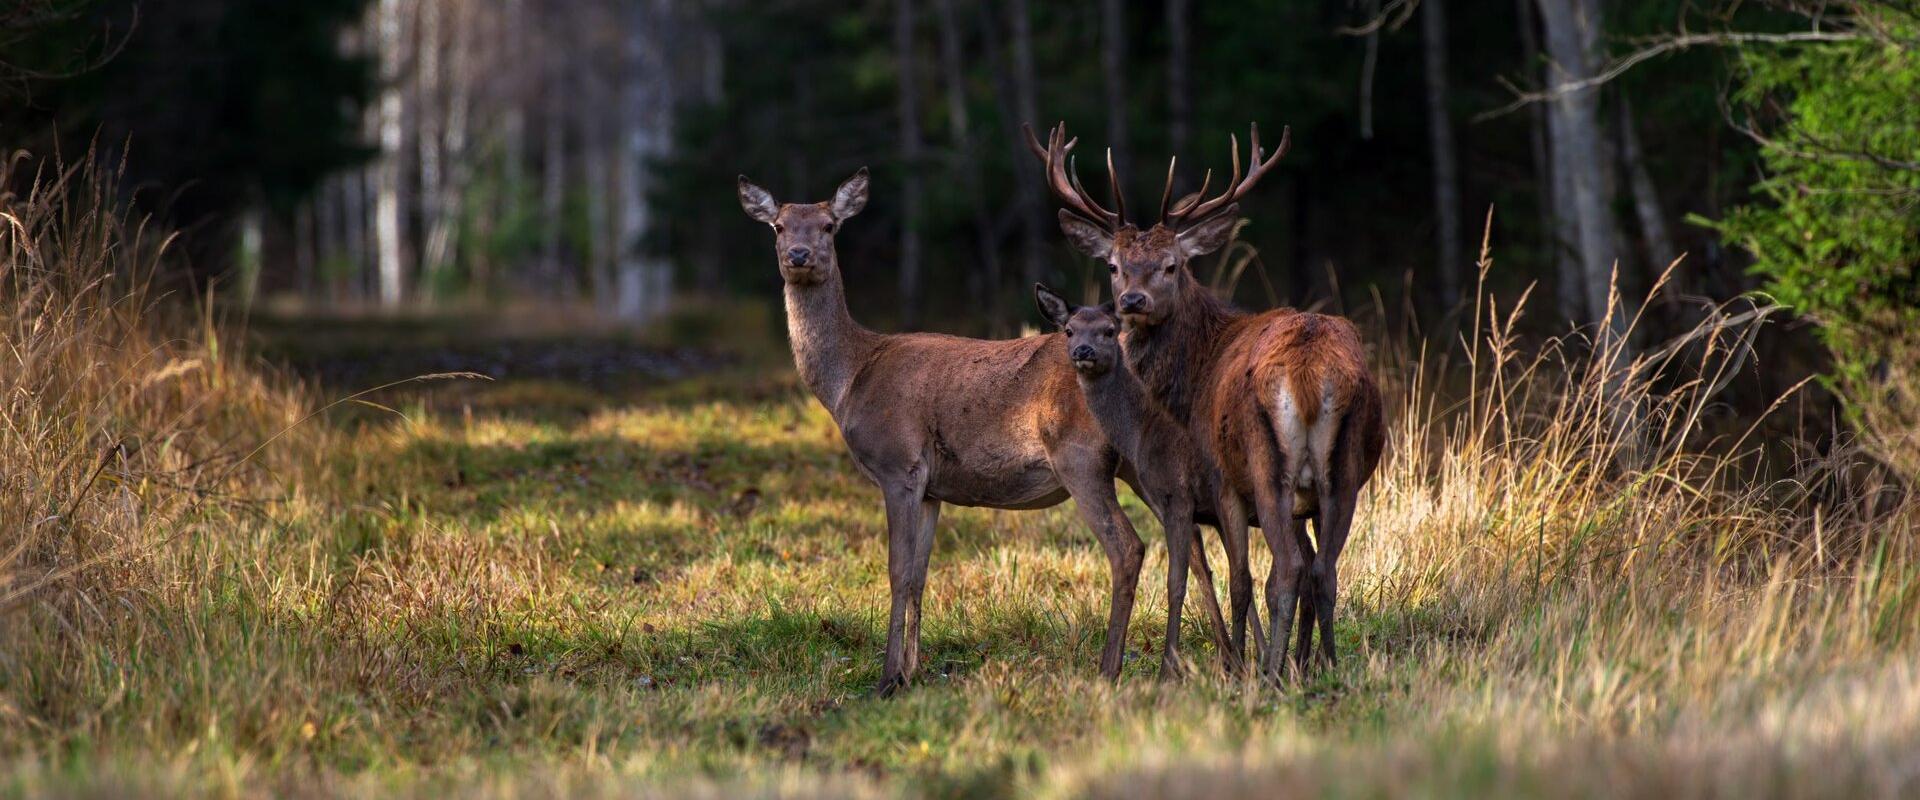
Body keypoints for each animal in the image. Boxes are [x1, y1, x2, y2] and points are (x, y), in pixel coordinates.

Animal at [1029, 124, 1390, 679]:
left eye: (1172, 265)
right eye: (1113, 266)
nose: (1132, 302)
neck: (1196, 374)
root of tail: (1312, 372)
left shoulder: (1220, 480)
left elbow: (1234, 580)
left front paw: (1232, 666)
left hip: (1266, 467)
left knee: (1286, 570)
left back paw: (1270, 675)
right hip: (1344, 473)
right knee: (1325, 570)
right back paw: (1325, 667)